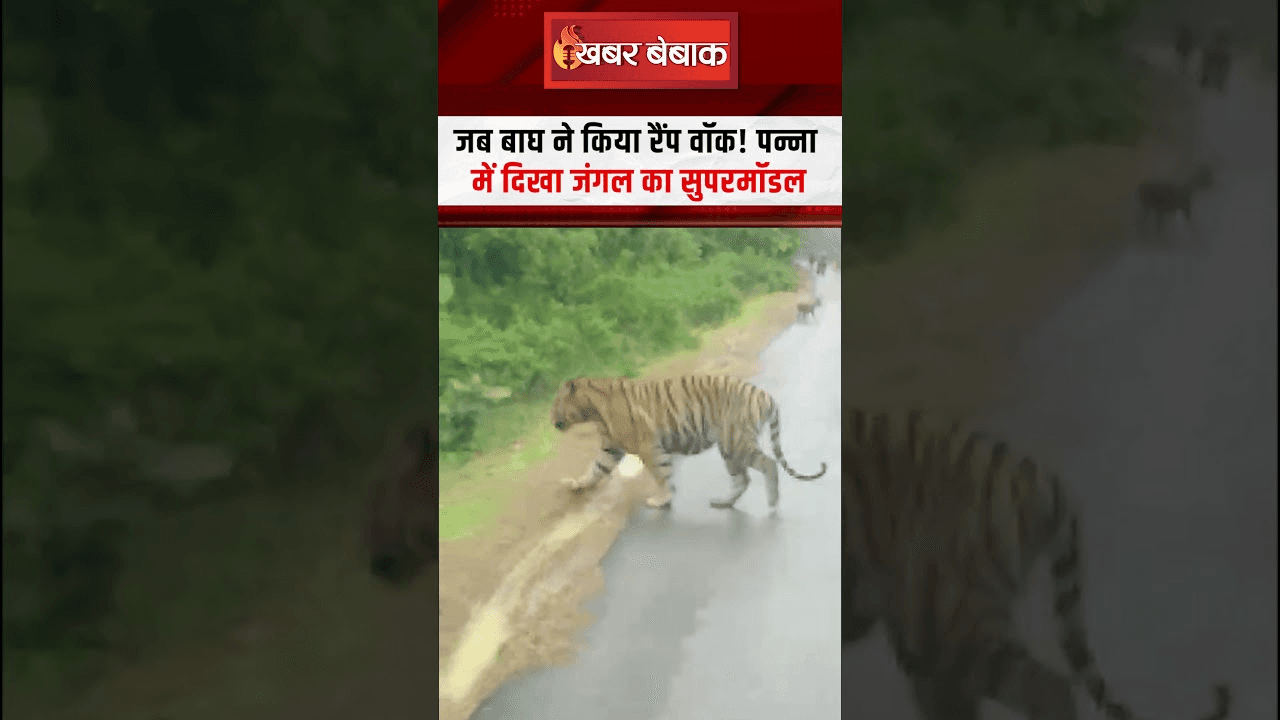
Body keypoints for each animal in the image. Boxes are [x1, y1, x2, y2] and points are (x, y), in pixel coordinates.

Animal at [552, 375, 827, 510]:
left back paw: (772, 502)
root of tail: (764, 394)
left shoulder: (647, 447)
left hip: (735, 441)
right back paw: (723, 503)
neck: (594, 412)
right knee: (743, 479)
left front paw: (662, 500)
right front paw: (575, 484)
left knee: (768, 464)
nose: (551, 420)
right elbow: (595, 468)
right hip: (730, 448)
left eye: (556, 403)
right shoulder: (611, 448)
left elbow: (659, 474)